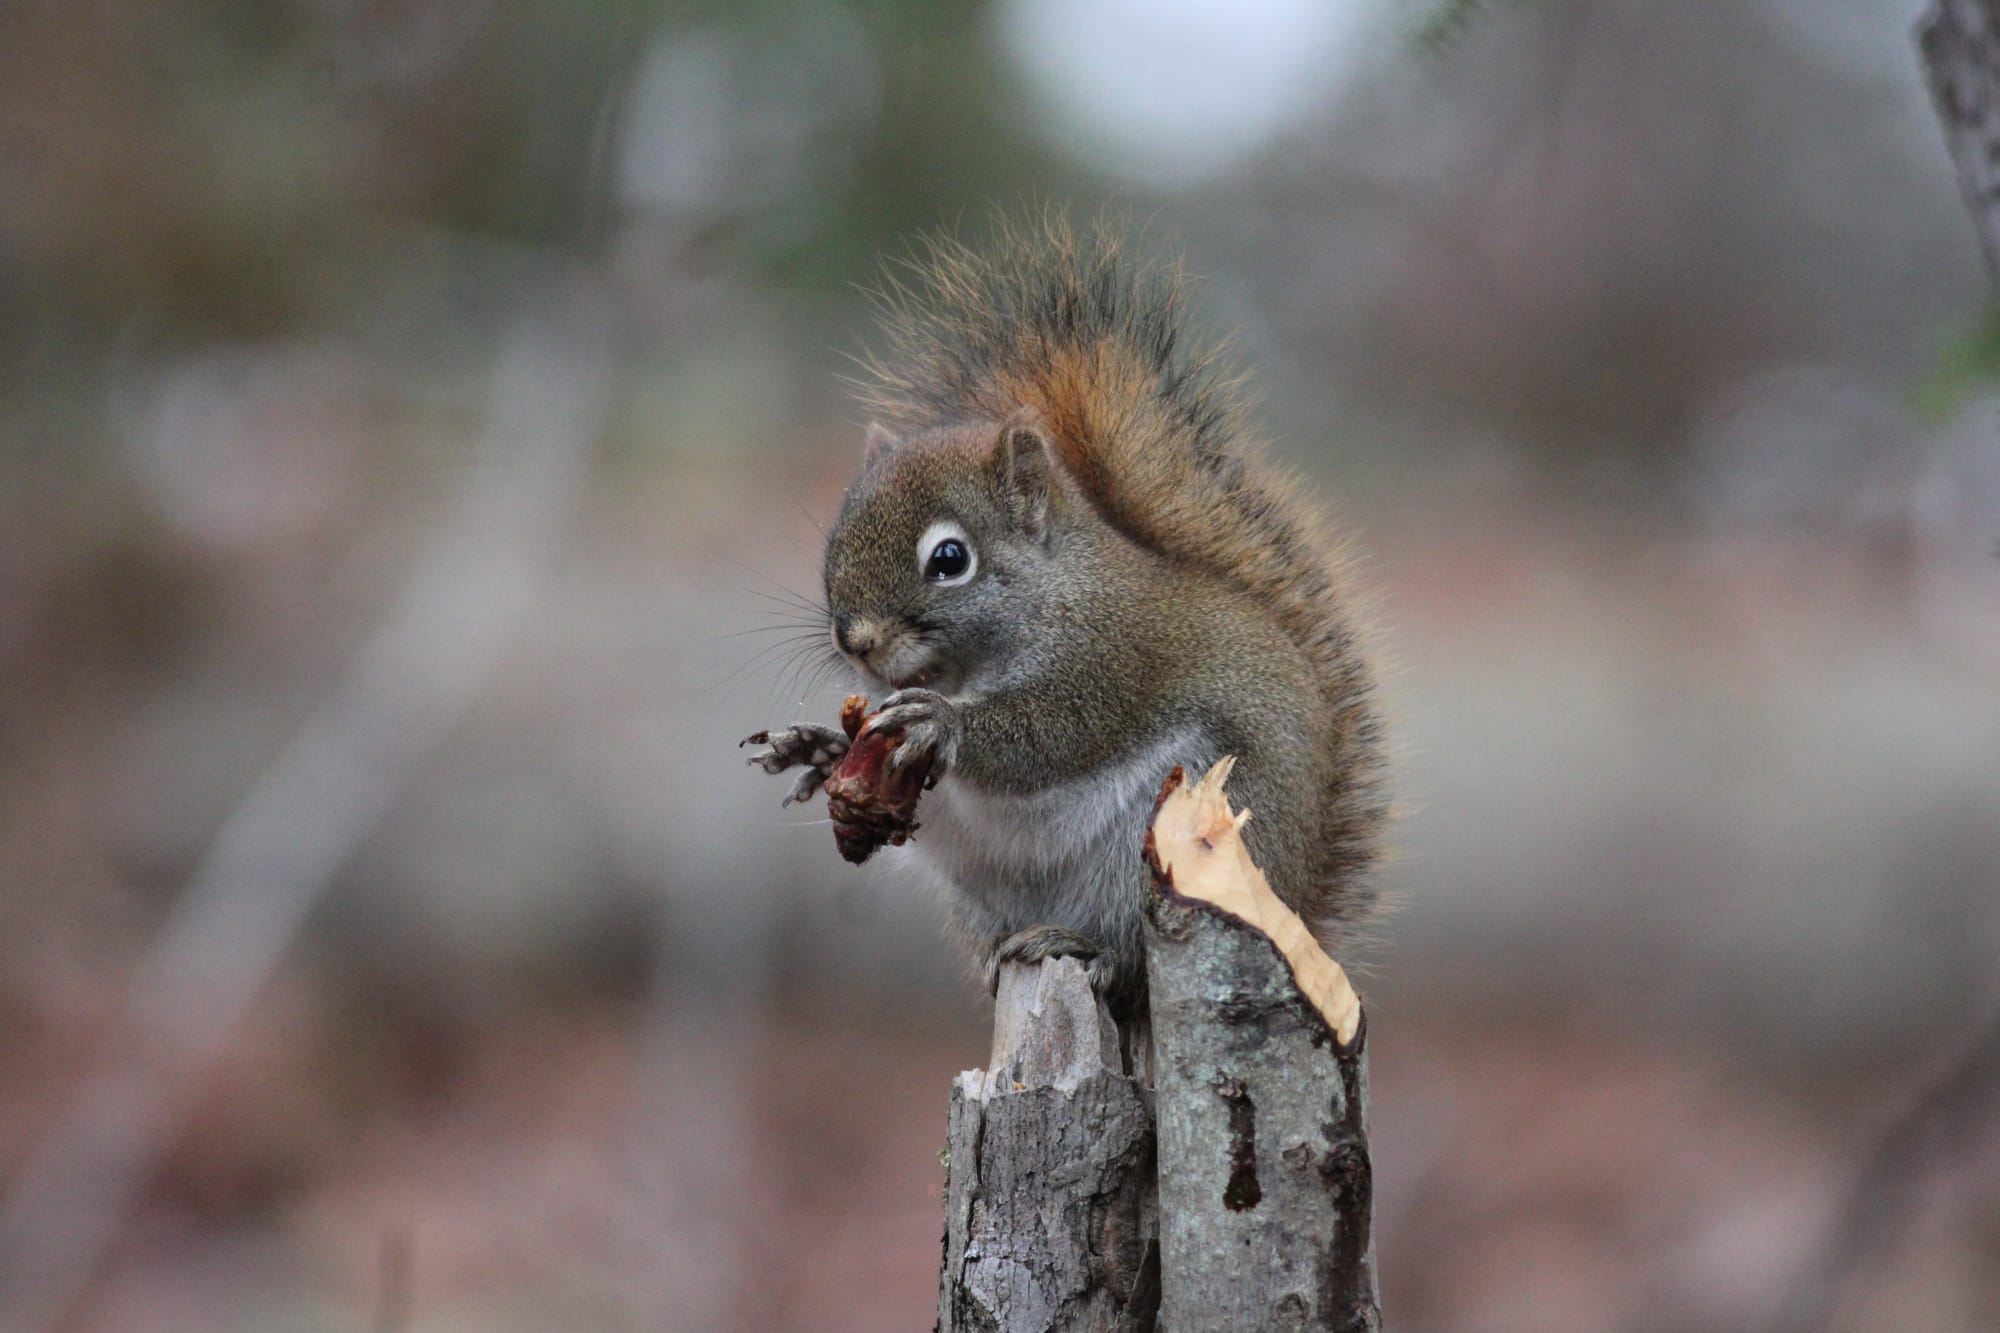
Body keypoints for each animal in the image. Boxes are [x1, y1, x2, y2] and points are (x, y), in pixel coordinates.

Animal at [746, 214, 1388, 1015]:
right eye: (836, 534)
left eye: (950, 559)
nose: (855, 640)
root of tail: (1296, 910)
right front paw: (819, 746)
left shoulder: (1111, 656)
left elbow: (1052, 731)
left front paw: (941, 723)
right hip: (982, 886)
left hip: (1169, 849)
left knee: (1130, 965)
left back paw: (1080, 947)